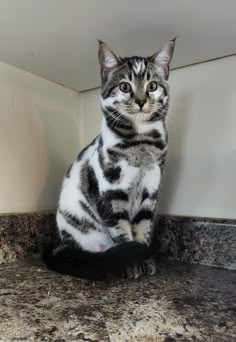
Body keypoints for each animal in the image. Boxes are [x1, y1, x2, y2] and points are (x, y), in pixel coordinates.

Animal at [42, 37, 175, 280]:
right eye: (125, 87)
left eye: (152, 86)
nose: (141, 101)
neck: (140, 142)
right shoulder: (110, 193)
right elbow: (122, 232)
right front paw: (132, 262)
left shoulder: (150, 193)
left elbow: (142, 229)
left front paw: (146, 259)